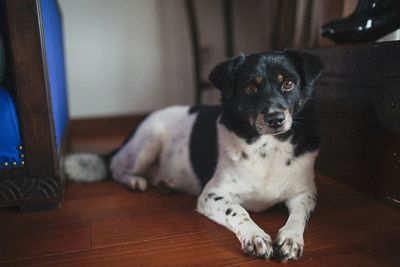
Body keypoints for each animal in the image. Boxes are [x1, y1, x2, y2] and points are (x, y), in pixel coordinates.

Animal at [65, 50, 322, 262]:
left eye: (288, 83)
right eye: (250, 88)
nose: (275, 119)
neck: (268, 147)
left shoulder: (305, 193)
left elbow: (298, 216)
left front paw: (290, 238)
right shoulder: (212, 194)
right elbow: (239, 211)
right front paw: (255, 235)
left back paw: (165, 184)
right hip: (148, 141)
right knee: (116, 168)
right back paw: (135, 181)